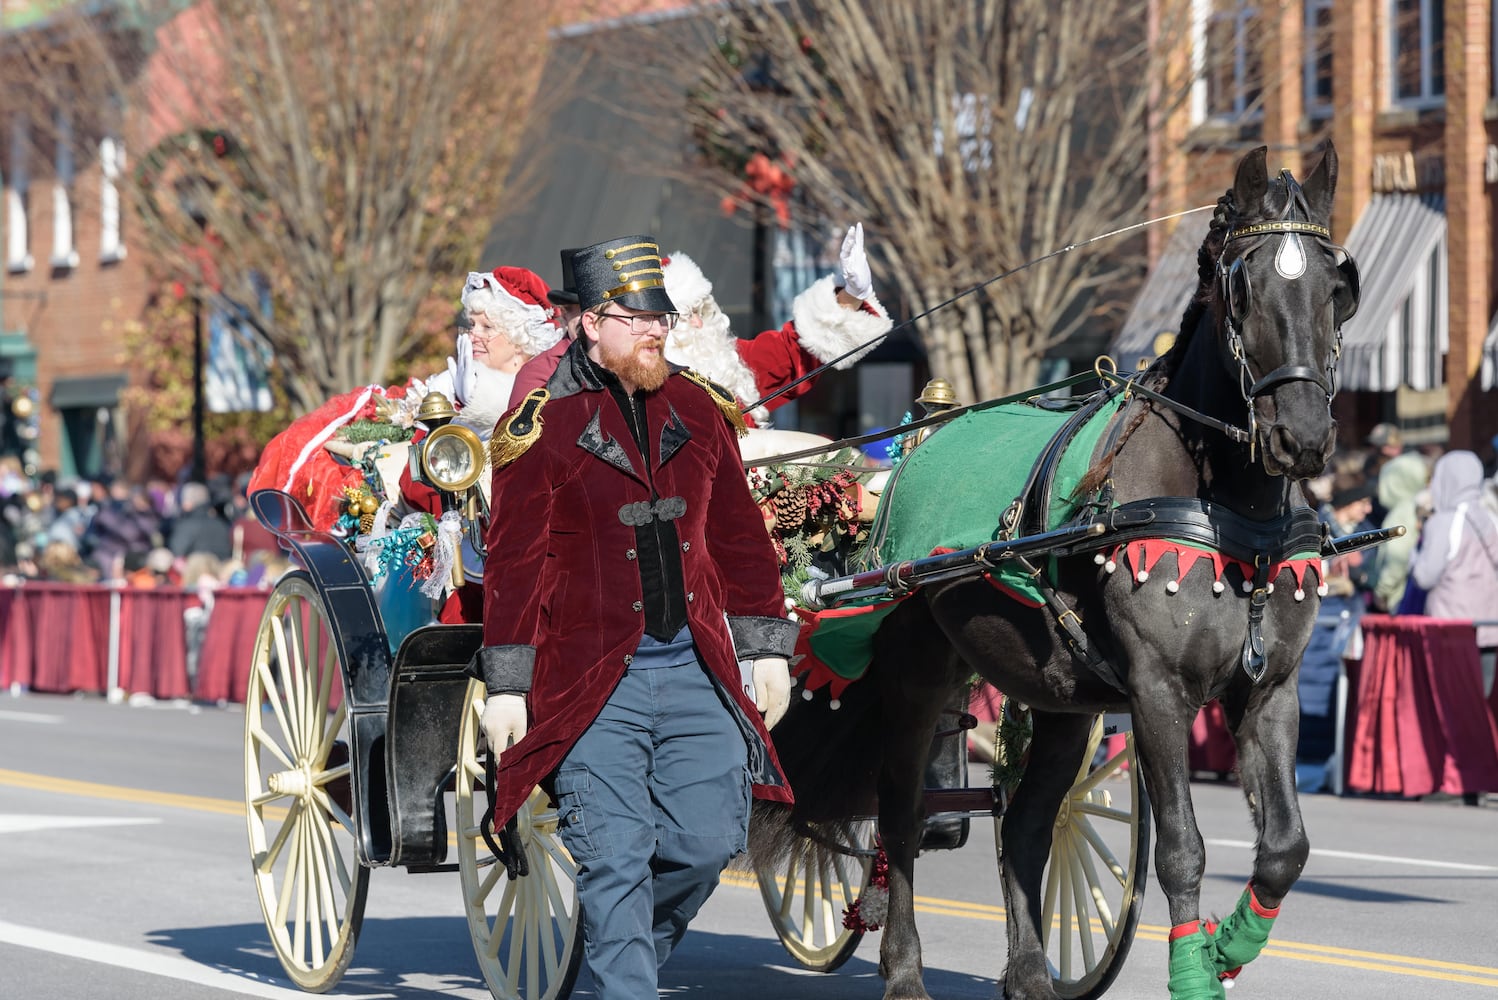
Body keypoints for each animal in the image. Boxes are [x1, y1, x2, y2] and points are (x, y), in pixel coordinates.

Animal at [760, 146, 1360, 999]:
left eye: (1338, 288)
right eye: (1242, 286)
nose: (1302, 438)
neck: (1228, 509)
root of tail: (920, 440)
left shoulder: (1270, 690)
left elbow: (1285, 848)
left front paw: (1225, 948)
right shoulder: (1158, 692)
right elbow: (1183, 849)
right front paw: (1195, 971)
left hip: (1060, 698)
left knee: (1026, 823)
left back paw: (1030, 974)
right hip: (917, 674)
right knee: (900, 815)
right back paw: (904, 969)